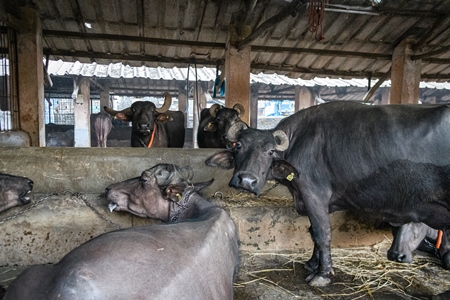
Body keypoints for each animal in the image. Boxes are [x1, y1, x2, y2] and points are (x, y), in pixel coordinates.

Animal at [207, 102, 450, 288]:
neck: (299, 141)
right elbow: (313, 233)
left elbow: (322, 233)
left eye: (270, 151)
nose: (246, 181)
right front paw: (313, 264)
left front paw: (322, 275)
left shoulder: (314, 195)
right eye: (238, 146)